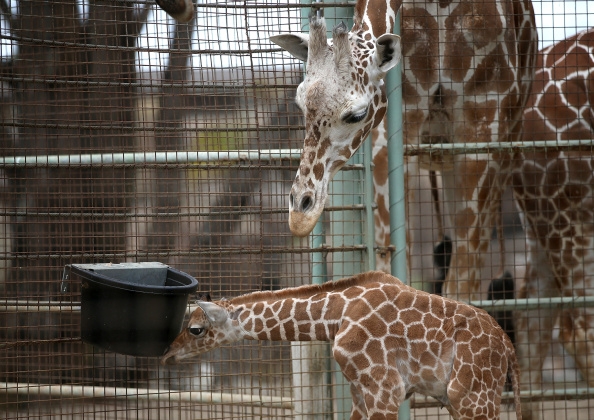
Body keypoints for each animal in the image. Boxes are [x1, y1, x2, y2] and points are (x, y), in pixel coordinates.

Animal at [161, 270, 520, 418]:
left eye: (195, 329)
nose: (167, 354)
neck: (334, 316)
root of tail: (508, 346)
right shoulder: (361, 393)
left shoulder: (385, 390)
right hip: (462, 400)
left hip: (471, 397)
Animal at [270, 0, 536, 302]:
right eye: (300, 103)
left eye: (357, 114)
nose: (300, 215)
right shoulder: (392, 133)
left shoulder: (483, 123)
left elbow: (461, 285)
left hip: (505, 147)